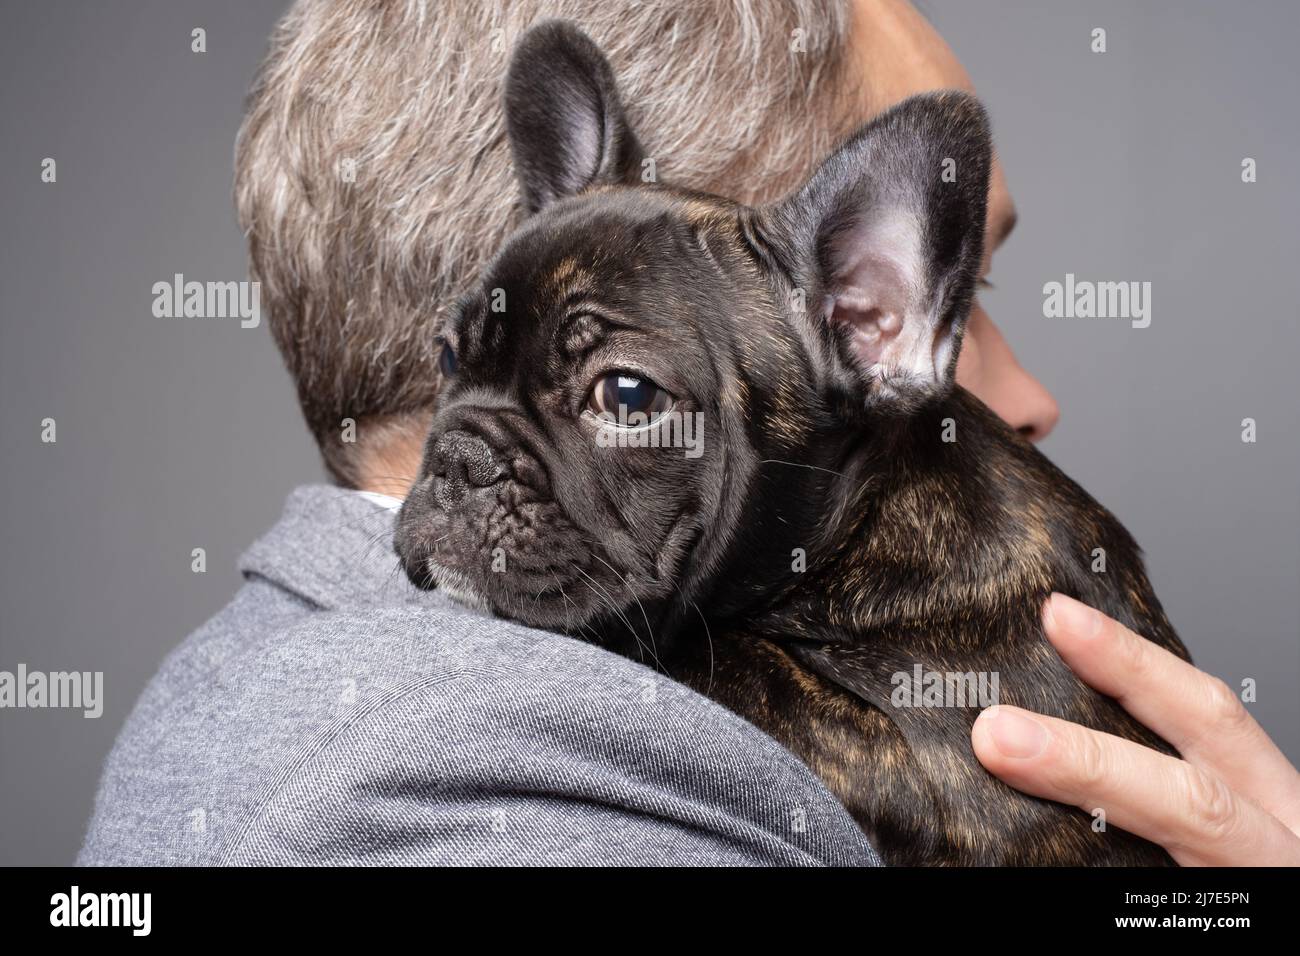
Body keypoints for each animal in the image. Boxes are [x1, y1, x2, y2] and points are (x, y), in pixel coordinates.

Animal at [395, 22, 1190, 863]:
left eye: (628, 396)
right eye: (447, 357)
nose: (458, 456)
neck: (874, 529)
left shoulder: (967, 775)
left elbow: (729, 655)